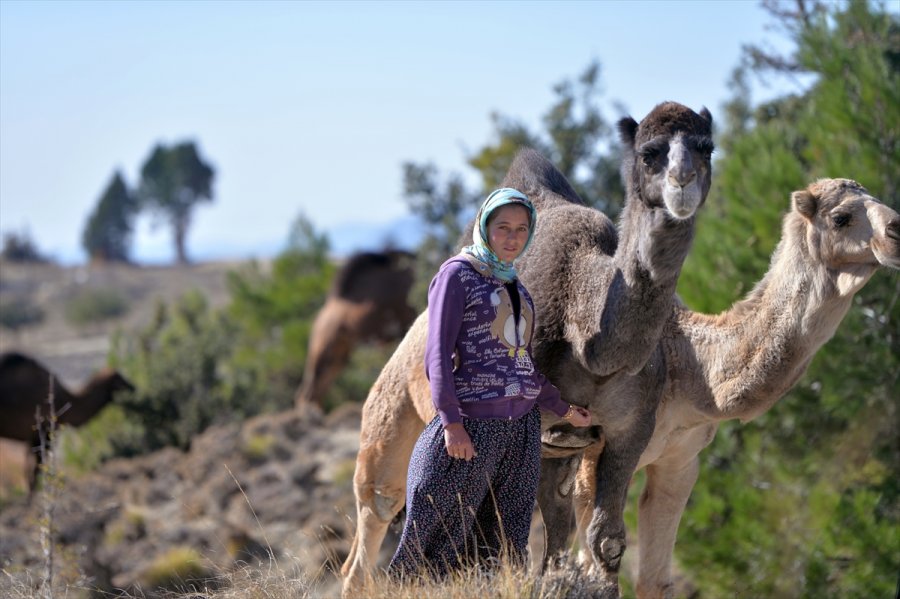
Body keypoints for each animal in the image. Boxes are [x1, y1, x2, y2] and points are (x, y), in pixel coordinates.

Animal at [0, 352, 135, 492]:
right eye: (120, 378)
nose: (133, 387)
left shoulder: (32, 438)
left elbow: (31, 473)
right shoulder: (44, 434)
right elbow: (34, 475)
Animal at [342, 101, 712, 596]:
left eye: (706, 146)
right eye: (649, 152)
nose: (683, 182)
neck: (590, 340)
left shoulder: (630, 429)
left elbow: (606, 539)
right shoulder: (535, 429)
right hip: (390, 414)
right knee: (378, 511)